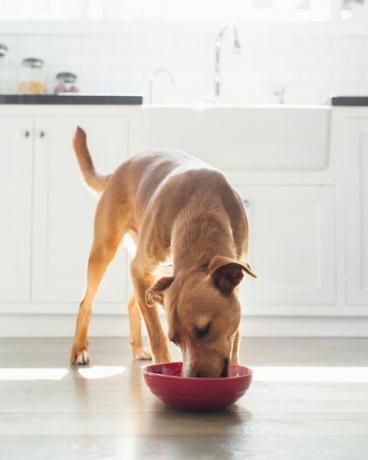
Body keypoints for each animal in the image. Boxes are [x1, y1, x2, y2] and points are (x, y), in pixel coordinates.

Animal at [71, 126, 256, 378]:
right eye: (175, 340)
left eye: (204, 329)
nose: (192, 379)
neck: (201, 211)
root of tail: (117, 171)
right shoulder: (140, 271)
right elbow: (156, 333)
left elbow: (235, 335)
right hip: (105, 249)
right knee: (86, 303)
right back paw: (79, 349)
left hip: (152, 275)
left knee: (133, 304)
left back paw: (138, 349)